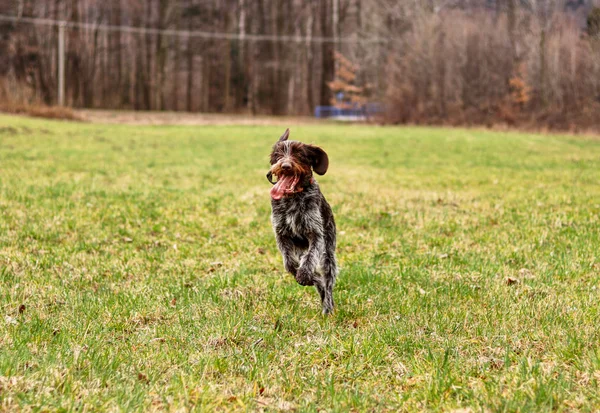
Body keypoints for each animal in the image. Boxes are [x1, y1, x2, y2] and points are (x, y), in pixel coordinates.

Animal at [266, 129, 338, 312]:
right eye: (278, 154)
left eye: (299, 154)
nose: (285, 166)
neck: (293, 197)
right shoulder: (282, 234)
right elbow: (290, 263)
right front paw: (310, 277)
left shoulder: (316, 234)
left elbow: (310, 257)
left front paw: (305, 275)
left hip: (328, 253)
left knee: (328, 282)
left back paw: (328, 308)